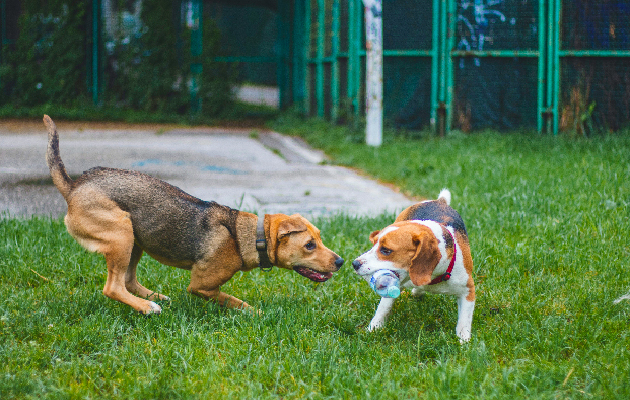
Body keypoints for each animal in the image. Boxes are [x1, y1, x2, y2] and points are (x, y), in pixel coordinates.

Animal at [43, 115, 346, 316]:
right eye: (309, 245)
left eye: (319, 239)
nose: (341, 262)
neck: (247, 235)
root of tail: (73, 186)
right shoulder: (201, 285)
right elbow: (232, 299)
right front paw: (255, 313)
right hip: (121, 234)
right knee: (113, 287)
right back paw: (148, 307)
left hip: (135, 239)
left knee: (127, 281)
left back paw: (155, 298)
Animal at [354, 189, 476, 342]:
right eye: (374, 244)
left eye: (386, 250)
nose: (354, 263)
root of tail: (438, 201)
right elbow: (383, 308)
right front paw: (374, 328)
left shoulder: (468, 290)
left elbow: (464, 321)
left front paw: (464, 341)